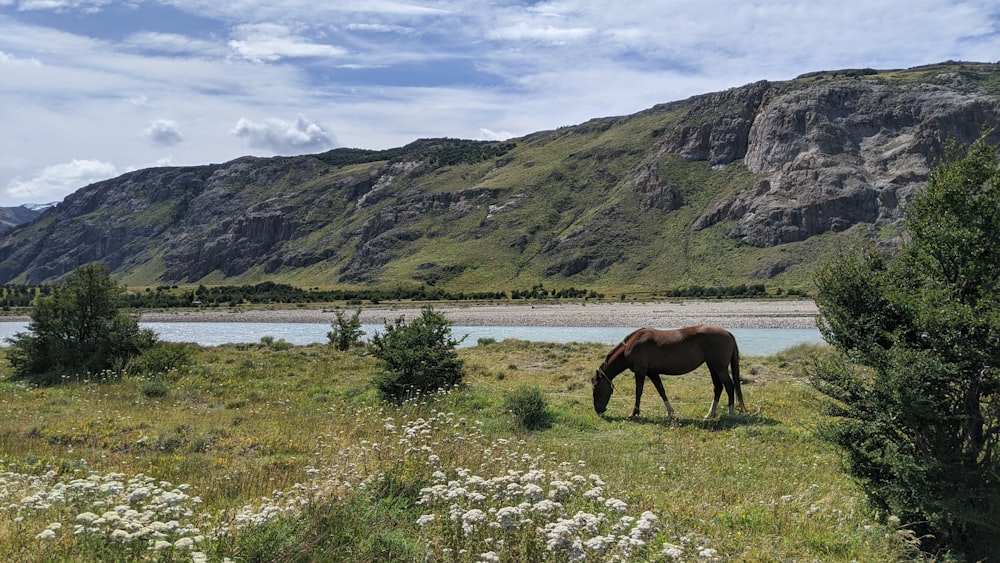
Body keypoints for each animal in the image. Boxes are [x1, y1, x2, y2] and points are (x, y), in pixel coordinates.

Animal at [592, 326, 744, 418]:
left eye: (596, 390)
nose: (598, 411)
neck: (631, 345)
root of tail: (727, 333)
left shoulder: (641, 372)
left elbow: (638, 392)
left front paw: (634, 413)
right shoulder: (652, 373)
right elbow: (661, 391)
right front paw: (670, 412)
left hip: (720, 368)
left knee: (729, 386)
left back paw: (731, 412)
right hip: (712, 367)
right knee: (718, 387)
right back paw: (710, 414)